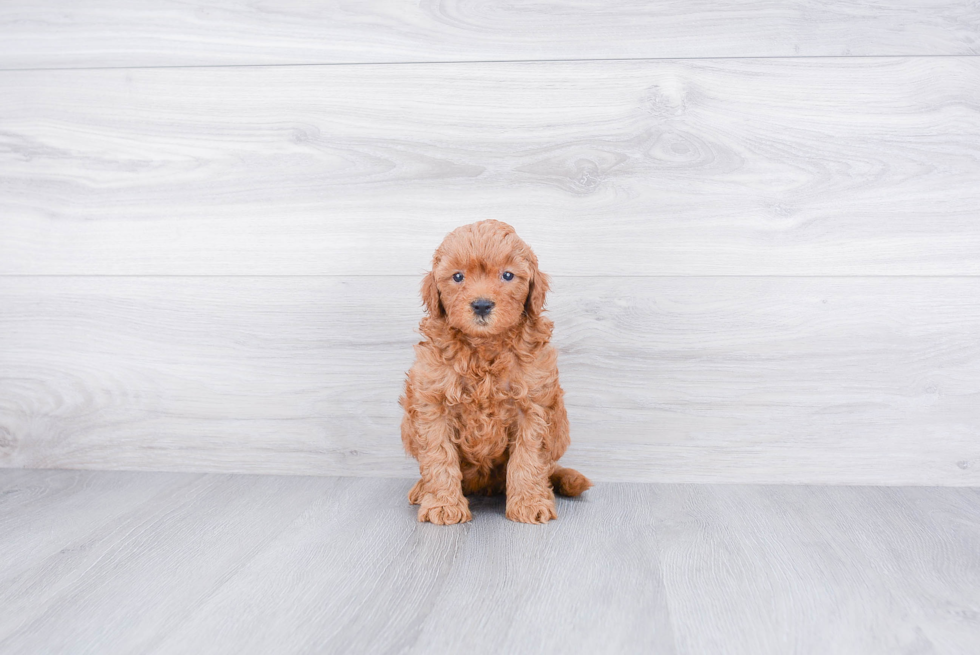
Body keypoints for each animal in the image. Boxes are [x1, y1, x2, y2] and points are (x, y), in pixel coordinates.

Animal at [398, 222, 588, 528]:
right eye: (458, 276)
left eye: (507, 275)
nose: (482, 305)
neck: (484, 348)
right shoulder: (432, 403)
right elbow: (439, 456)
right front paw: (443, 504)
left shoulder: (534, 405)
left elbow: (528, 458)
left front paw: (530, 503)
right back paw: (422, 490)